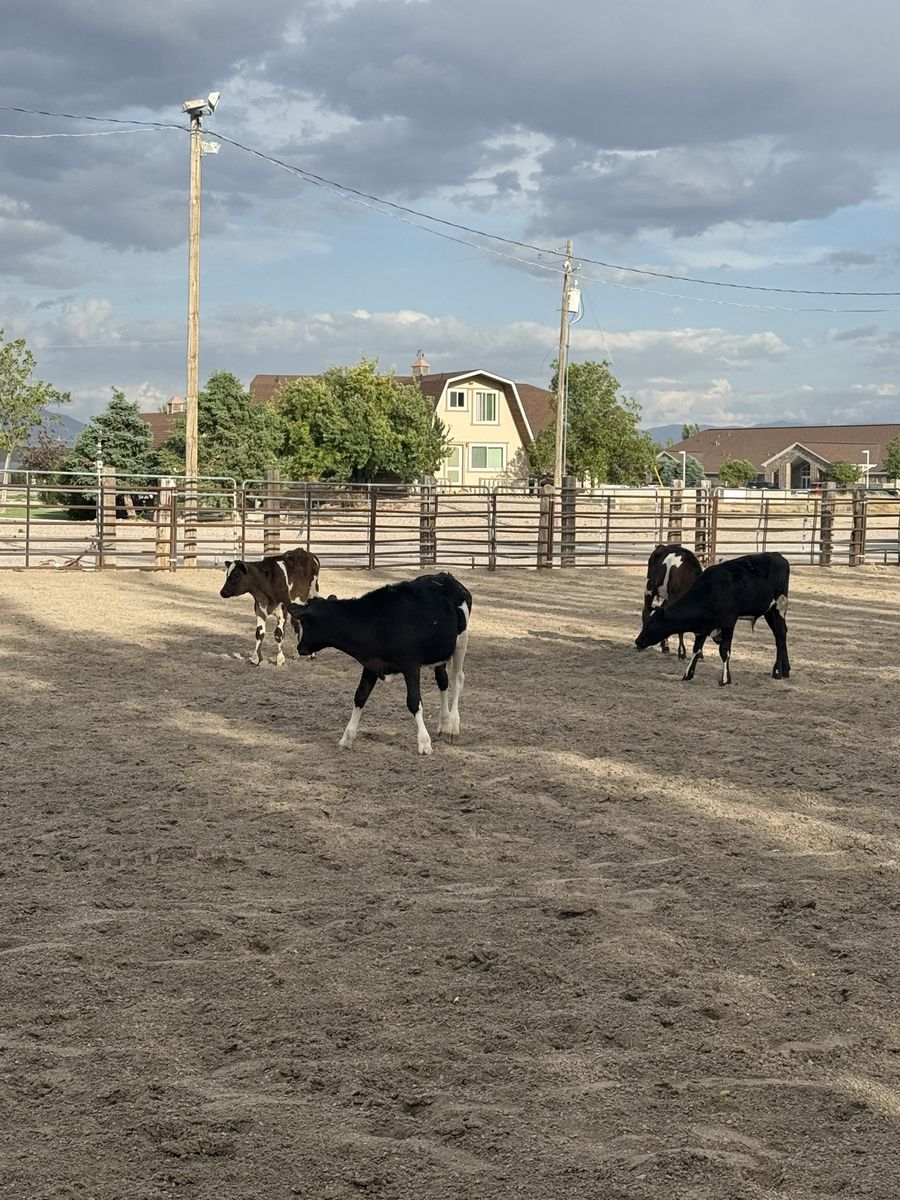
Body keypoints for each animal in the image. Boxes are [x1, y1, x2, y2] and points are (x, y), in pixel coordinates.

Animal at [287, 572, 472, 756]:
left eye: (304, 622)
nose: (300, 648)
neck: (378, 623)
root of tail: (445, 576)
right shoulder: (371, 665)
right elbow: (360, 696)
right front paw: (347, 738)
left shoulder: (411, 666)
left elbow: (414, 702)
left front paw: (424, 743)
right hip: (440, 652)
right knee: (443, 681)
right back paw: (444, 722)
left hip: (461, 641)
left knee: (457, 679)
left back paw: (453, 727)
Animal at [635, 551, 790, 686]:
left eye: (653, 624)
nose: (638, 641)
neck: (711, 591)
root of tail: (778, 556)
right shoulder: (702, 628)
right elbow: (696, 649)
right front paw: (687, 674)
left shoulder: (728, 622)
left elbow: (724, 650)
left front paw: (725, 679)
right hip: (769, 611)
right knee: (780, 635)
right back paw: (786, 669)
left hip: (779, 607)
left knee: (780, 635)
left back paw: (777, 671)